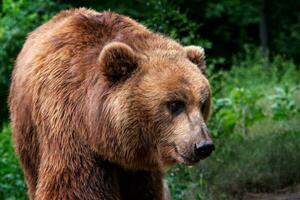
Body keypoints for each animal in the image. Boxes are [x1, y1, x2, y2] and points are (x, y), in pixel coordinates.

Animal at [8, 7, 213, 200]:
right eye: (175, 104)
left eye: (202, 104)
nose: (203, 145)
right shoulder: (69, 128)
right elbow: (73, 188)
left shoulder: (140, 169)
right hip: (28, 135)